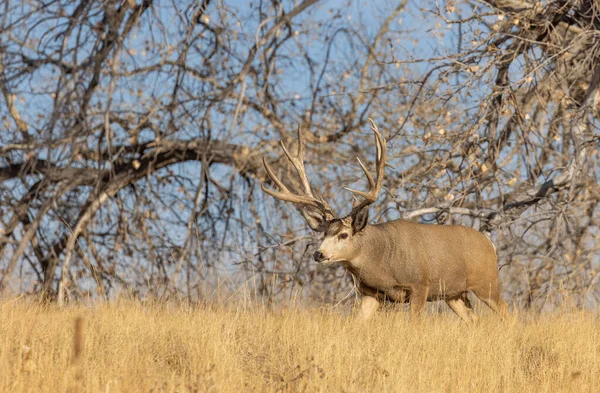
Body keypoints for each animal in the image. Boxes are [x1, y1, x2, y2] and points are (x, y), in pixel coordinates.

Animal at [262, 119, 506, 322]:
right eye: (324, 233)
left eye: (344, 234)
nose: (318, 254)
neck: (382, 261)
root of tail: (490, 244)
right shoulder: (371, 294)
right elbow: (356, 323)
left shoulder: (420, 285)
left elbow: (414, 324)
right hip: (454, 294)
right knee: (474, 320)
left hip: (487, 283)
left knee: (506, 313)